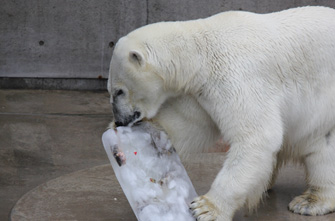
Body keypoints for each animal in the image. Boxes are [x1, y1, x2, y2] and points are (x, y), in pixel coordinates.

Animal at [107, 6, 335, 220]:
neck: (201, 52)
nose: (120, 121)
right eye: (111, 91)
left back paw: (309, 201)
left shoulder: (237, 77)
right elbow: (189, 125)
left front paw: (205, 208)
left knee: (323, 150)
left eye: (119, 91)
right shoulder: (200, 92)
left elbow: (257, 136)